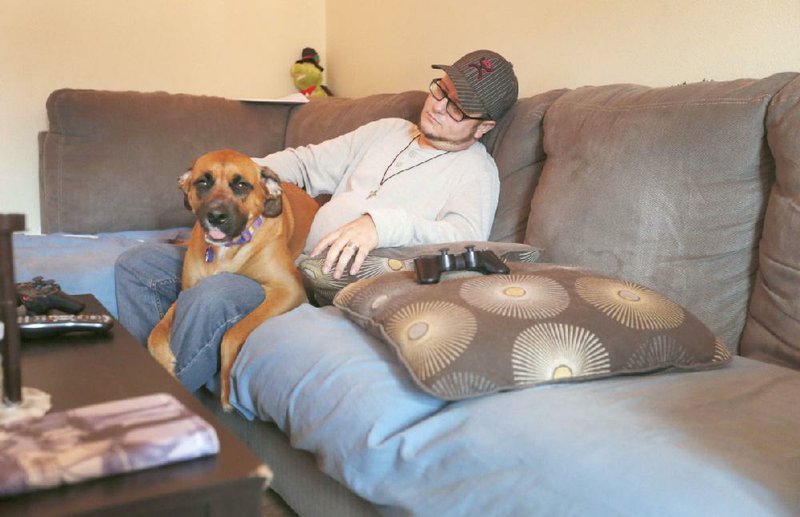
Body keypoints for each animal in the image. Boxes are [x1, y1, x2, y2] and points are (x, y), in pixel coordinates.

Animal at [148, 147, 318, 410]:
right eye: (203, 182)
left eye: (241, 185)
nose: (216, 216)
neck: (226, 250)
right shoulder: (187, 291)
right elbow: (155, 333)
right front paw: (164, 361)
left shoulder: (288, 290)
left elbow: (232, 334)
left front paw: (227, 391)